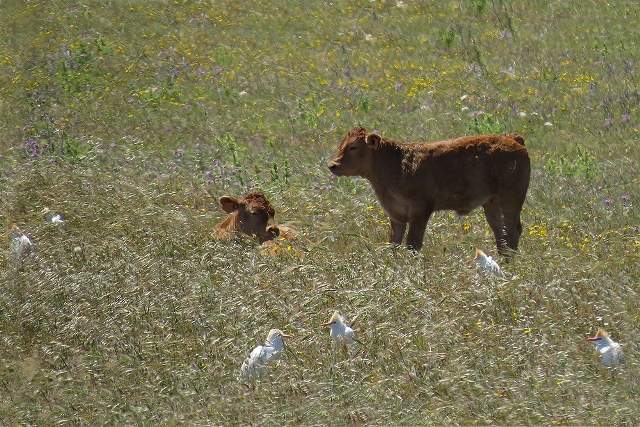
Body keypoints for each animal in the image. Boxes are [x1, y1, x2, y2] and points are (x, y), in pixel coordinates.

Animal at [328, 127, 531, 255]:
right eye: (341, 144)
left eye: (353, 147)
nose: (332, 165)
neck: (396, 163)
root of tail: (513, 139)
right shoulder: (396, 215)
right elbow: (394, 243)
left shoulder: (420, 211)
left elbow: (413, 244)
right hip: (491, 203)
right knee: (500, 232)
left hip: (511, 199)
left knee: (512, 230)